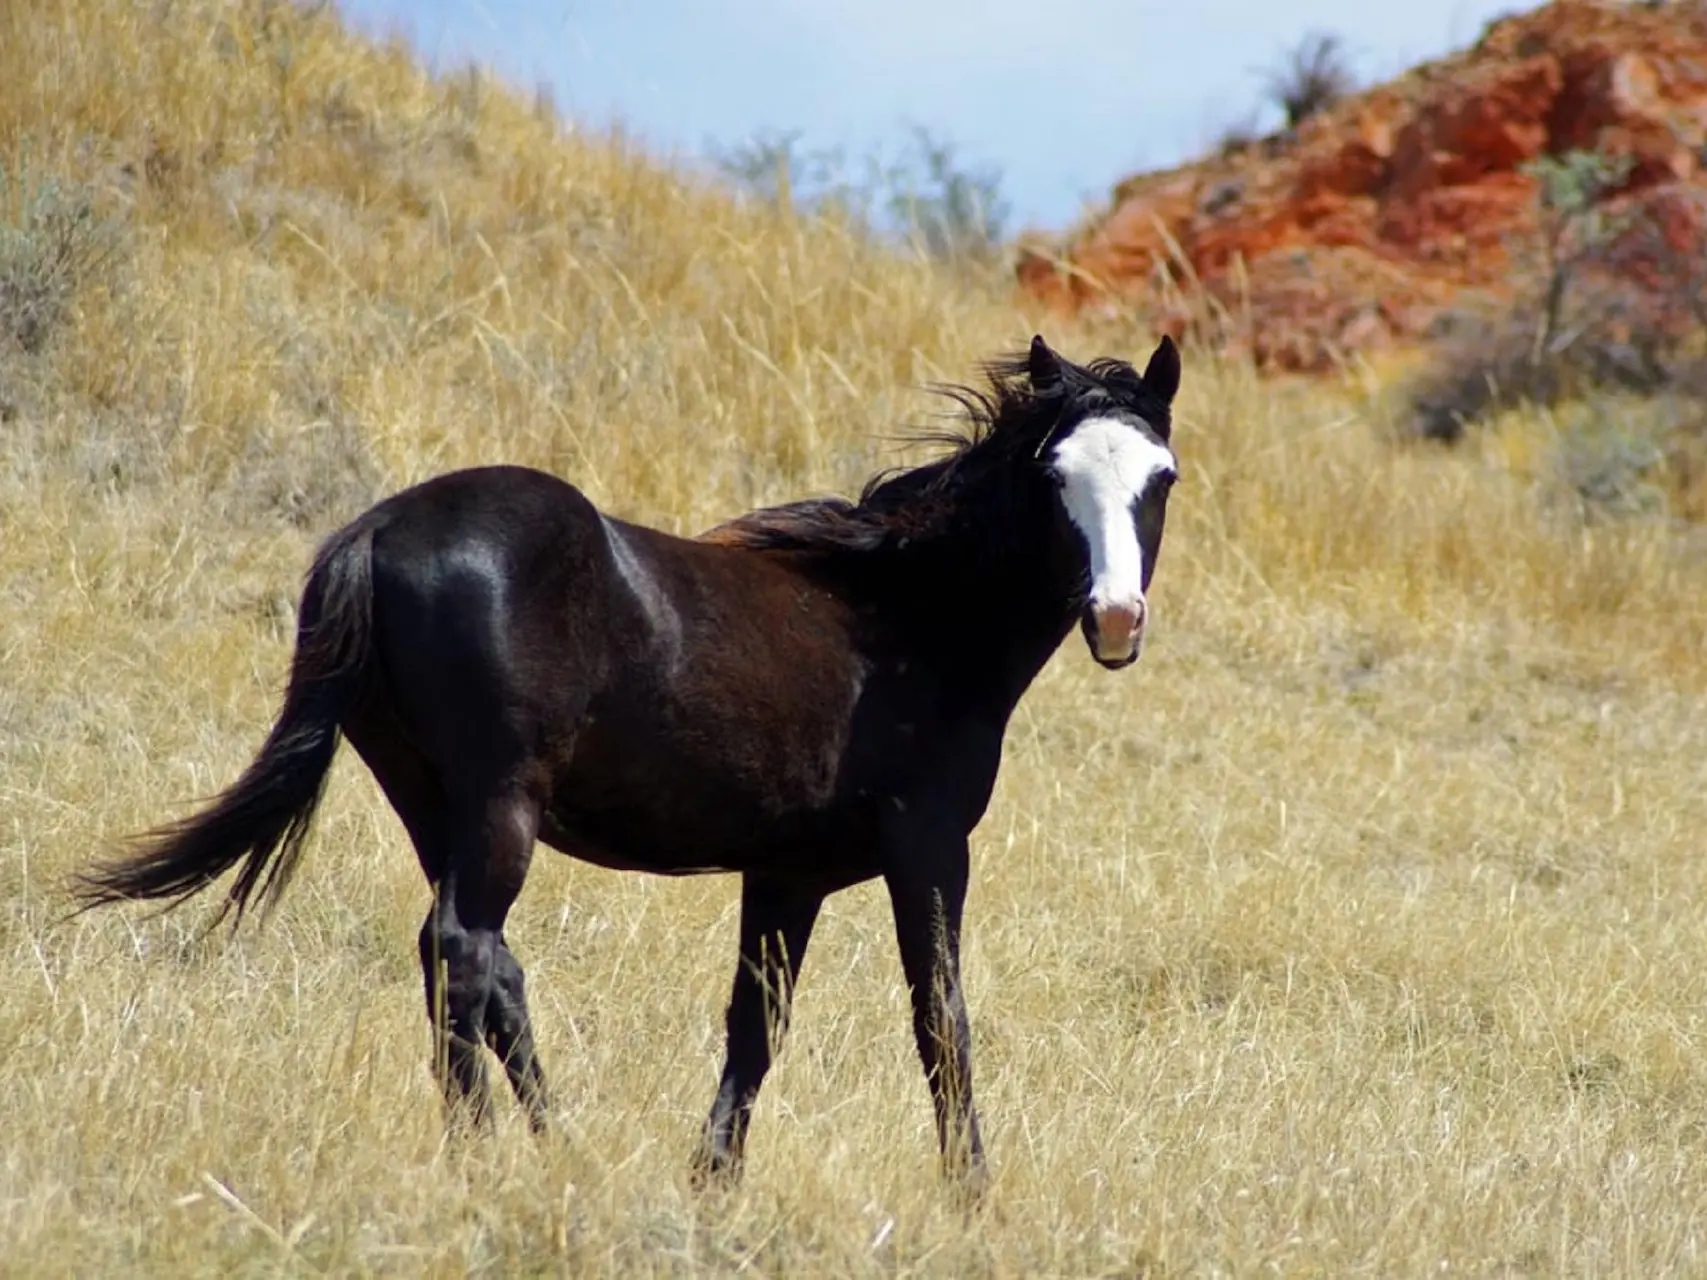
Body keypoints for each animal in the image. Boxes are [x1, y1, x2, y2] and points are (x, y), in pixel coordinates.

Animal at [76, 332, 1174, 1194]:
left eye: (1158, 477)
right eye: (1055, 475)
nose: (1116, 618)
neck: (902, 615)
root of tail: (378, 531)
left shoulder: (788, 874)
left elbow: (756, 1026)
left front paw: (712, 1183)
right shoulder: (930, 846)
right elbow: (939, 1019)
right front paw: (971, 1193)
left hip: (432, 801)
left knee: (486, 966)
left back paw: (557, 1150)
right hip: (500, 803)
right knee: (462, 947)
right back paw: (478, 1158)